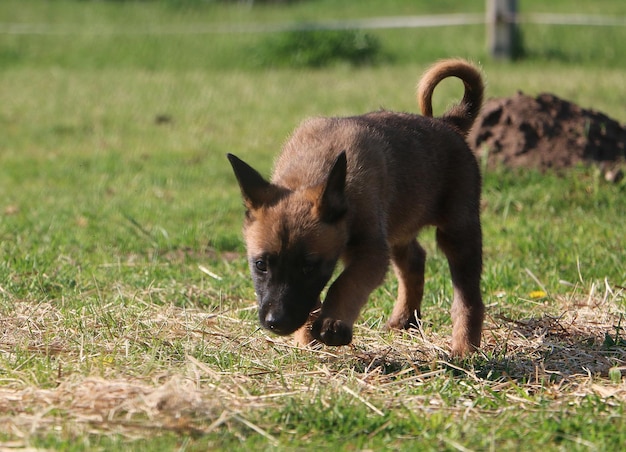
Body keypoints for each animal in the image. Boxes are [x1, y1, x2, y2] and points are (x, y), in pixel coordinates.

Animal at [227, 57, 486, 356]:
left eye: (309, 266)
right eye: (260, 265)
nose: (276, 322)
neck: (313, 170)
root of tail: (448, 123)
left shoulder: (370, 251)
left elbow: (344, 283)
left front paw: (332, 323)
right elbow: (314, 298)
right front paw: (306, 338)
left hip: (458, 231)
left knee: (468, 297)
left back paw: (465, 347)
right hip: (399, 226)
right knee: (414, 259)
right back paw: (404, 320)